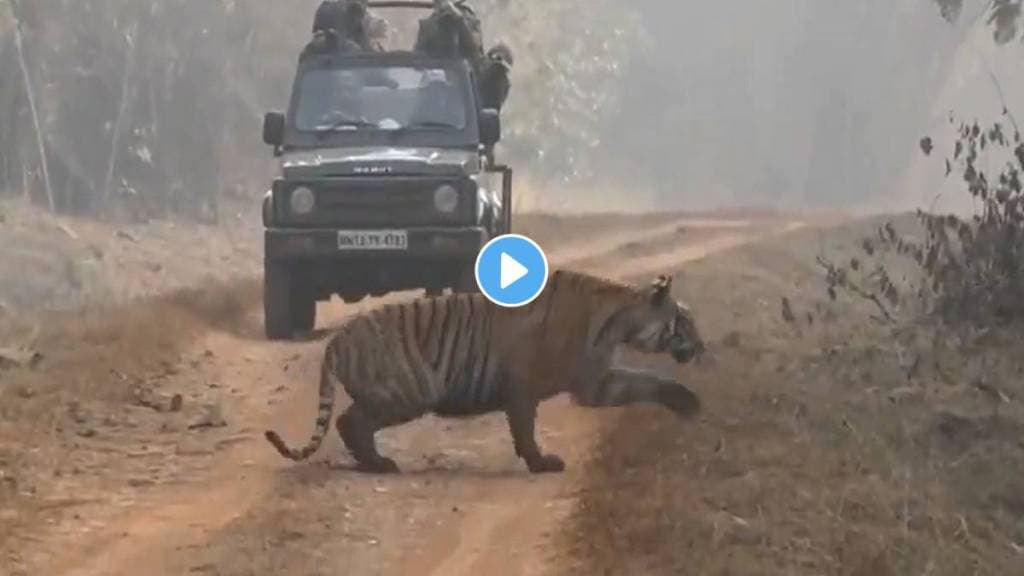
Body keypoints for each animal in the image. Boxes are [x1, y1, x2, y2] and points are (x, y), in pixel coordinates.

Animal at [266, 268, 704, 471]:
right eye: (684, 322)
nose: (702, 348)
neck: (620, 321)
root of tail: (337, 338)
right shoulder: (527, 386)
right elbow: (524, 428)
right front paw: (541, 463)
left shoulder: (597, 382)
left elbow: (649, 382)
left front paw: (687, 402)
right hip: (410, 390)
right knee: (349, 421)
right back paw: (379, 465)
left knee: (349, 421)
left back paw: (372, 462)